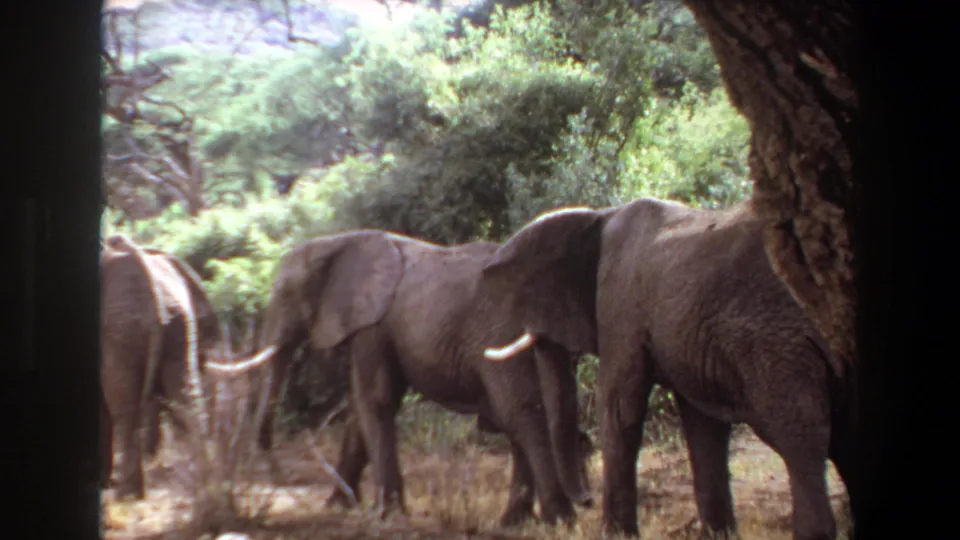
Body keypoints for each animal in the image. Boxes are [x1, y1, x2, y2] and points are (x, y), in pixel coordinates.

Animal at [100, 234, 225, 499]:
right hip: (179, 322)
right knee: (185, 397)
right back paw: (207, 485)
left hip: (121, 328)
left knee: (124, 404)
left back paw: (127, 494)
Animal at [206, 229, 593, 527]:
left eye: (286, 294)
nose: (277, 479)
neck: (339, 241)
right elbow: (360, 412)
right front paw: (338, 506)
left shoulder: (373, 326)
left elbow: (374, 401)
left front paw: (387, 514)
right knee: (522, 419)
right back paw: (515, 521)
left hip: (498, 332)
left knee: (521, 413)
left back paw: (557, 520)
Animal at [479, 198, 857, 540]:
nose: (585, 500)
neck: (600, 216)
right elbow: (703, 425)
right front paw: (717, 535)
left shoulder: (620, 303)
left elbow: (619, 409)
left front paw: (615, 535)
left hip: (778, 342)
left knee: (800, 435)